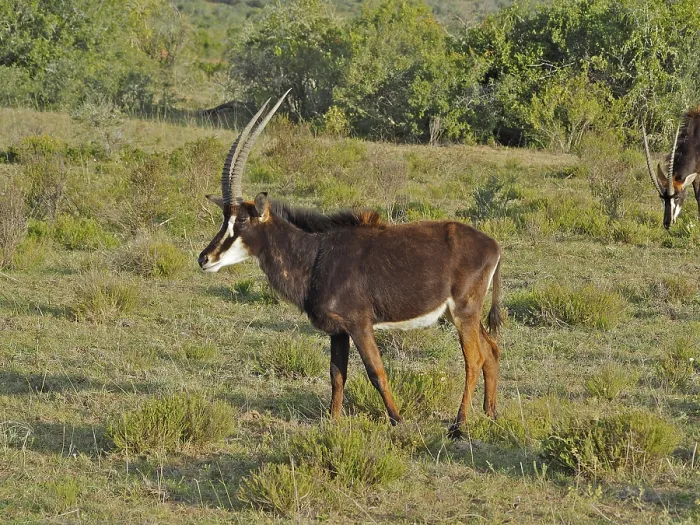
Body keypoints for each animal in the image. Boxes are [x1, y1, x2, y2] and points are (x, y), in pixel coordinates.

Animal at [198, 91, 504, 435]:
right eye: (223, 218)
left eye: (241, 222)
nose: (205, 258)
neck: (315, 253)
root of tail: (493, 245)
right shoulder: (338, 331)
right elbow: (337, 375)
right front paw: (332, 423)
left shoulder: (359, 325)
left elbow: (376, 372)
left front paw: (398, 421)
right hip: (461, 315)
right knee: (491, 350)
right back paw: (490, 415)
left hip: (464, 313)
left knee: (474, 359)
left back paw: (459, 424)